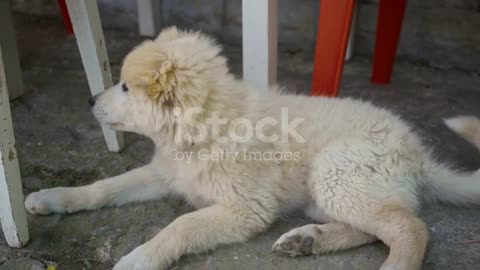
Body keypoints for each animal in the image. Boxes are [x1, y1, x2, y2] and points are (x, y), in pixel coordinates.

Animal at [25, 28, 480, 270]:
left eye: (123, 86)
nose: (88, 101)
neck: (200, 132)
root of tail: (417, 152)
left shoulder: (244, 208)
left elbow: (181, 225)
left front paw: (141, 257)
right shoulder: (163, 173)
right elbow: (104, 187)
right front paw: (52, 197)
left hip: (336, 171)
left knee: (409, 227)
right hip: (331, 191)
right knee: (374, 226)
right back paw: (307, 240)